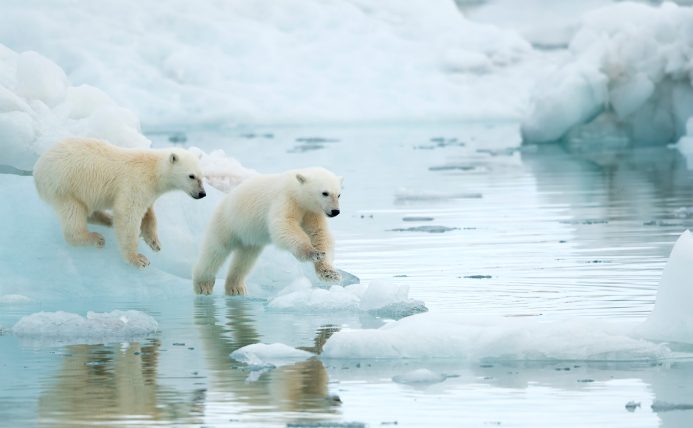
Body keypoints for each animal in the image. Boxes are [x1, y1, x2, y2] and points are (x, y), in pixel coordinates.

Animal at [33, 137, 206, 268]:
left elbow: (149, 213)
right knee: (73, 214)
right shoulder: (136, 183)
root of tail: (37, 168)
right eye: (191, 176)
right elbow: (128, 215)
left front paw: (154, 242)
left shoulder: (148, 191)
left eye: (202, 176)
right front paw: (138, 259)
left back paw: (108, 220)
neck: (153, 170)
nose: (202, 194)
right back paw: (96, 238)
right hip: (65, 186)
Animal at [193, 166, 343, 295]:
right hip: (227, 222)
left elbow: (319, 234)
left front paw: (330, 273)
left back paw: (236, 287)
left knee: (245, 259)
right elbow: (283, 226)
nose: (335, 211)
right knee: (215, 251)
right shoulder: (285, 200)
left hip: (250, 238)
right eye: (325, 193)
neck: (296, 191)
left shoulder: (312, 212)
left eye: (339, 194)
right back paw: (203, 284)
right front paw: (311, 252)